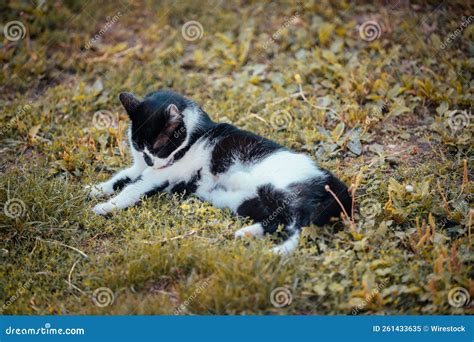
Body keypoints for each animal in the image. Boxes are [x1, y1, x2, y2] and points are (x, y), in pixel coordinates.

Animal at [86, 89, 352, 255]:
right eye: (138, 145)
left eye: (158, 147)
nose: (149, 160)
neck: (194, 137)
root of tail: (335, 184)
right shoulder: (139, 168)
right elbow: (121, 178)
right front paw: (96, 189)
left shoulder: (159, 175)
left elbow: (132, 189)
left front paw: (106, 206)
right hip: (254, 202)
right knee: (279, 222)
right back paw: (246, 233)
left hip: (282, 190)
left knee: (301, 226)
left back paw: (278, 251)